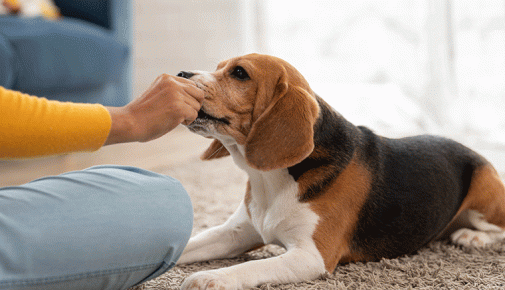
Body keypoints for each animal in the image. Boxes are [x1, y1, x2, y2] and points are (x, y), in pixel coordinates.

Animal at [176, 53, 504, 290]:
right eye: (219, 67)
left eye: (239, 73)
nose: (180, 75)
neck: (269, 180)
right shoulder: (234, 234)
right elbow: (187, 244)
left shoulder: (312, 256)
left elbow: (252, 266)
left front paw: (212, 277)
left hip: (484, 191)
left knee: (498, 228)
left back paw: (473, 237)